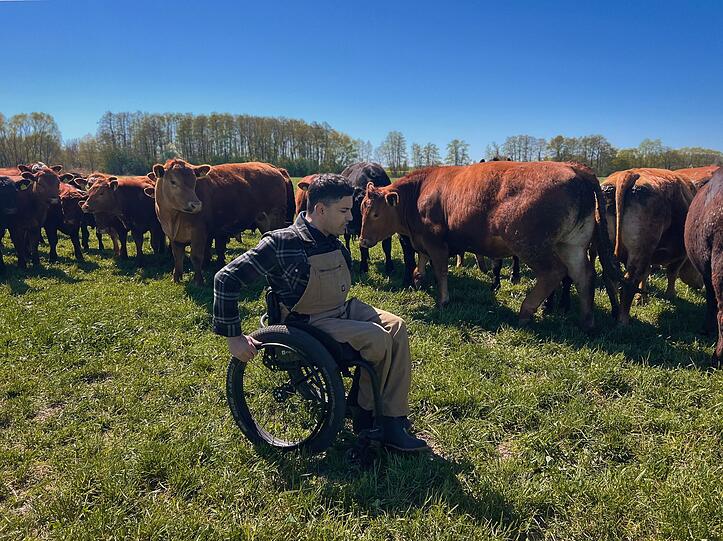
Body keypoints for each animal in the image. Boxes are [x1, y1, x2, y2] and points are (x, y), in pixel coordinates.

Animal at [146, 159, 294, 285]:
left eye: (194, 182)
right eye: (173, 181)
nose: (196, 205)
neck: (174, 217)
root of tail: (272, 168)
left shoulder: (199, 233)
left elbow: (196, 257)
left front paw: (198, 281)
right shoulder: (173, 236)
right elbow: (177, 257)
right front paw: (176, 278)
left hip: (274, 220)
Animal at [359, 161, 620, 330]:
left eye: (375, 214)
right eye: (362, 209)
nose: (362, 241)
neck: (421, 190)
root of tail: (576, 168)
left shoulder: (436, 242)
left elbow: (441, 270)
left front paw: (443, 300)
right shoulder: (422, 240)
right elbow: (421, 264)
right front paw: (418, 280)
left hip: (530, 244)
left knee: (553, 272)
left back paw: (526, 311)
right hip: (571, 245)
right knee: (584, 275)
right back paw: (587, 321)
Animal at [601, 168, 698, 324]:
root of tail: (629, 173)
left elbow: (646, 275)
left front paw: (642, 299)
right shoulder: (680, 255)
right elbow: (672, 273)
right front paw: (670, 295)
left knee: (610, 279)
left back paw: (615, 312)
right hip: (640, 252)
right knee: (629, 282)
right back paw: (623, 321)